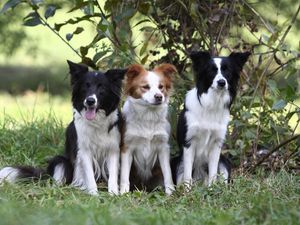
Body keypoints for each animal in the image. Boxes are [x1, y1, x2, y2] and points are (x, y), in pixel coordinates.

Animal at [0, 60, 126, 195]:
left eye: (102, 87)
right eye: (85, 86)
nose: (90, 101)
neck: (96, 122)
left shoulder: (112, 150)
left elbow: (113, 176)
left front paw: (113, 194)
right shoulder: (84, 151)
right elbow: (90, 176)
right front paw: (94, 194)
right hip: (60, 161)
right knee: (57, 182)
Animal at [119, 63, 176, 195]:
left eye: (161, 87)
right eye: (145, 87)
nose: (159, 97)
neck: (148, 116)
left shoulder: (163, 147)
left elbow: (168, 174)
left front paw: (170, 192)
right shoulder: (127, 147)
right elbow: (124, 175)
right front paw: (123, 193)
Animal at [175, 50, 250, 188]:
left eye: (227, 71)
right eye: (212, 71)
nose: (222, 82)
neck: (213, 102)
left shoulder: (216, 144)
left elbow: (213, 173)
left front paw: (211, 189)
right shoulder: (188, 143)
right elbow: (187, 175)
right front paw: (187, 191)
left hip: (224, 161)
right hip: (178, 162)